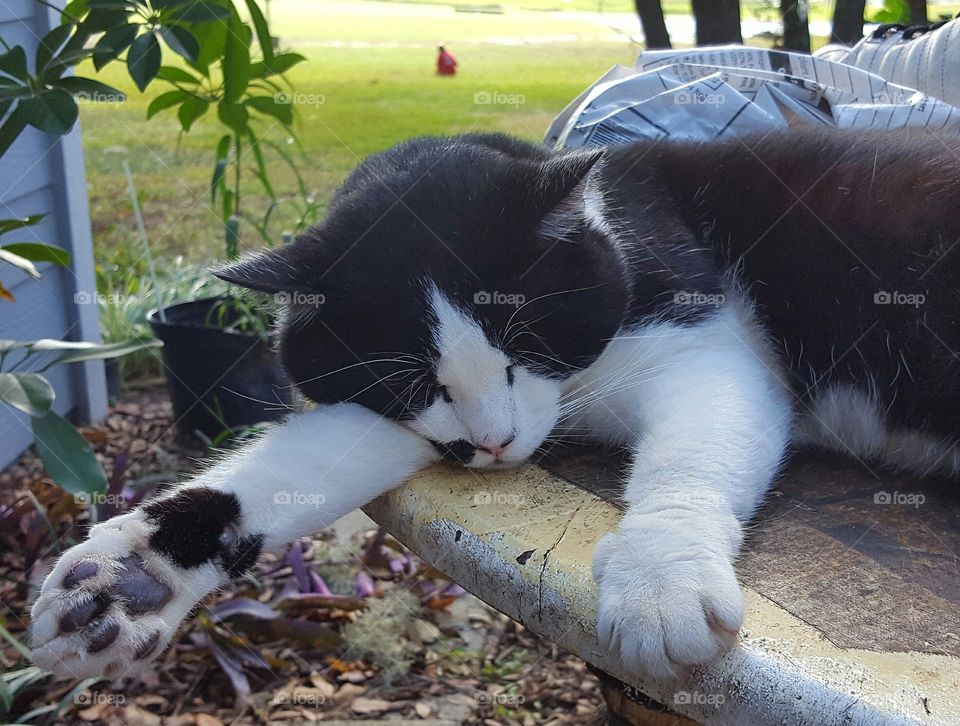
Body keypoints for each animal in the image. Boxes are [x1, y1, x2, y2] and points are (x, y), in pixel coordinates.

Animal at [30, 129, 960, 688]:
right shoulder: (396, 418)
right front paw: (136, 576)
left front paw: (660, 572)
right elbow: (296, 464)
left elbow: (695, 448)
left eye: (523, 350)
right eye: (416, 383)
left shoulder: (706, 338)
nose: (495, 445)